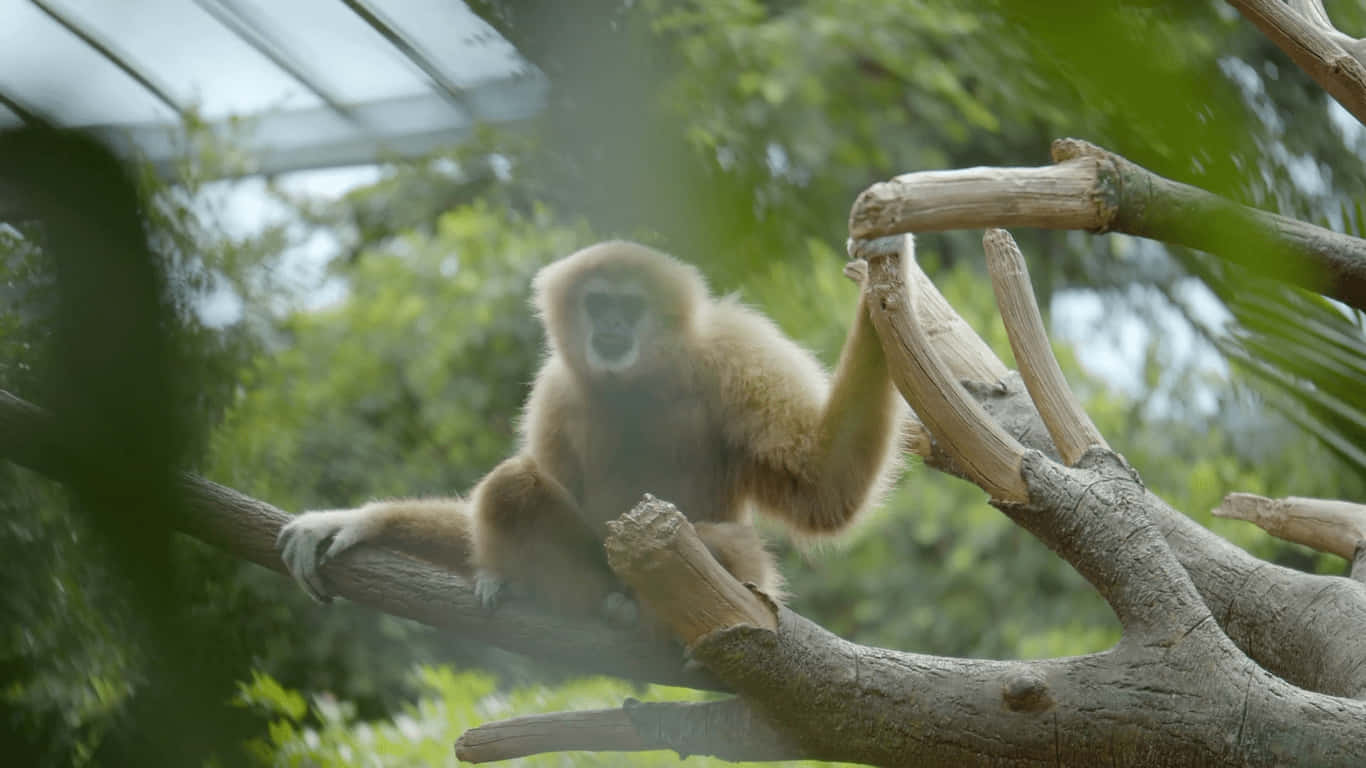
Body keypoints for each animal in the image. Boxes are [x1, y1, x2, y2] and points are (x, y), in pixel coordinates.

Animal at [277, 240, 905, 625]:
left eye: (630, 304)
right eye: (598, 303)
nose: (613, 323)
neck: (644, 378)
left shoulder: (734, 347)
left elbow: (825, 485)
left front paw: (881, 298)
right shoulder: (554, 391)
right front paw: (356, 521)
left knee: (730, 543)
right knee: (511, 488)